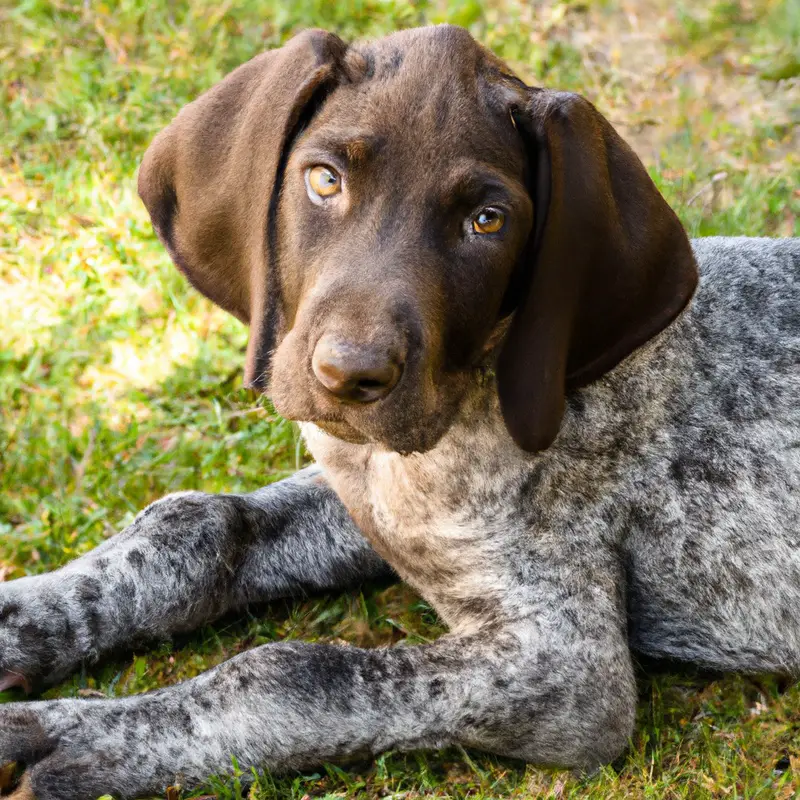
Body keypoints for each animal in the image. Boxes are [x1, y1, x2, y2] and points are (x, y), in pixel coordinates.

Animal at [1, 23, 800, 800]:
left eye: (488, 221)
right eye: (324, 179)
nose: (350, 375)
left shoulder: (566, 669)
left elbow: (293, 674)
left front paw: (92, 737)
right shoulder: (374, 501)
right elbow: (199, 524)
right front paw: (20, 620)